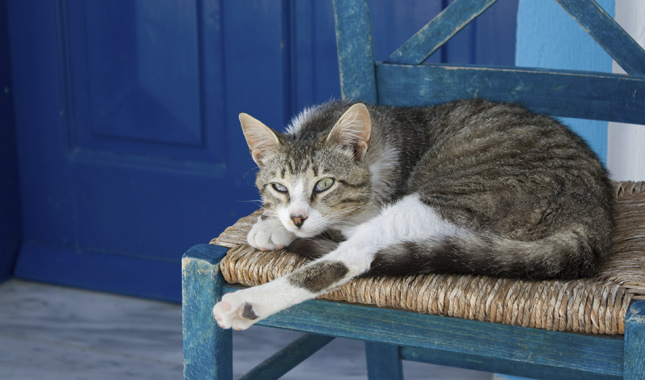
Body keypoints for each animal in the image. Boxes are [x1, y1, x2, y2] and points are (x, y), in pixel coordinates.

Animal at [213, 99, 612, 332]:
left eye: (324, 184)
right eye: (279, 187)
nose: (296, 218)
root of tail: (596, 215)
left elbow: (343, 228)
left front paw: (284, 229)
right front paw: (272, 224)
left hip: (449, 197)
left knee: (354, 255)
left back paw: (247, 304)